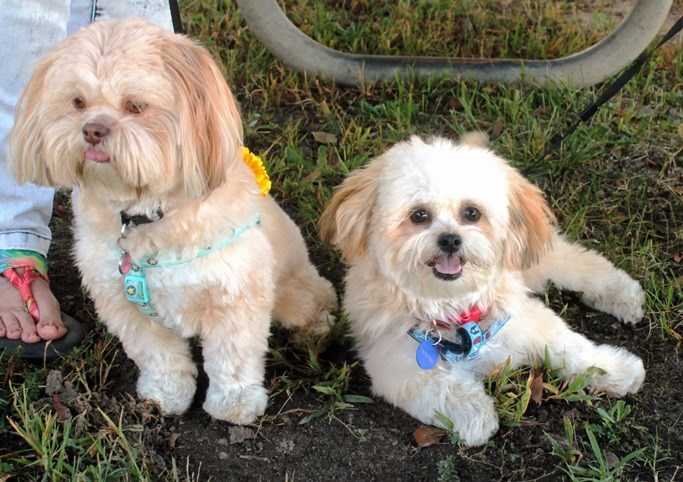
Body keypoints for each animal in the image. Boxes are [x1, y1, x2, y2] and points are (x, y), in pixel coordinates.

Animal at [5, 18, 336, 424]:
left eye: (135, 105)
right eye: (78, 102)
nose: (92, 130)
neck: (146, 214)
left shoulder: (234, 298)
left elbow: (233, 360)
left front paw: (234, 405)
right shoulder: (125, 303)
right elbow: (159, 356)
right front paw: (166, 395)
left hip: (293, 290)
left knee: (315, 299)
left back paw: (317, 329)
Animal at [320, 134, 648, 446]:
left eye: (472, 213)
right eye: (419, 215)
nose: (450, 239)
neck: (456, 311)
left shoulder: (527, 320)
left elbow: (573, 349)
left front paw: (617, 370)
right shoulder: (397, 363)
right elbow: (444, 390)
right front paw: (476, 415)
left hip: (534, 260)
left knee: (580, 263)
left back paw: (623, 294)